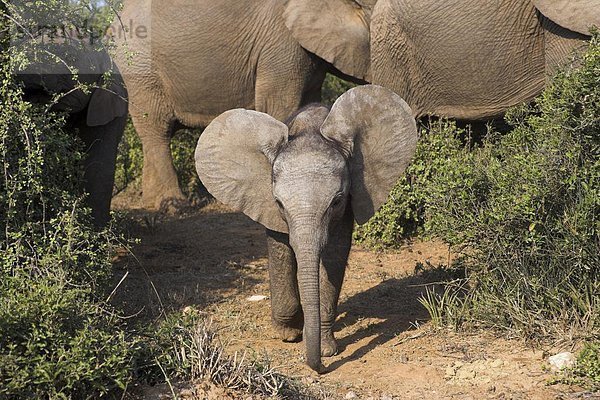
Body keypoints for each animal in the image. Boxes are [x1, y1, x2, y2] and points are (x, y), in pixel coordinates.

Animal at [112, 0, 328, 211]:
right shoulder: (282, 47)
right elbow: (280, 109)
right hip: (140, 72)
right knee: (158, 130)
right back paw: (175, 207)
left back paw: (153, 203)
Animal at [197, 84, 418, 372]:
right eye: (279, 203)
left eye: (336, 201)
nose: (320, 367)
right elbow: (281, 250)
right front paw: (288, 334)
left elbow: (334, 255)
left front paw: (326, 350)